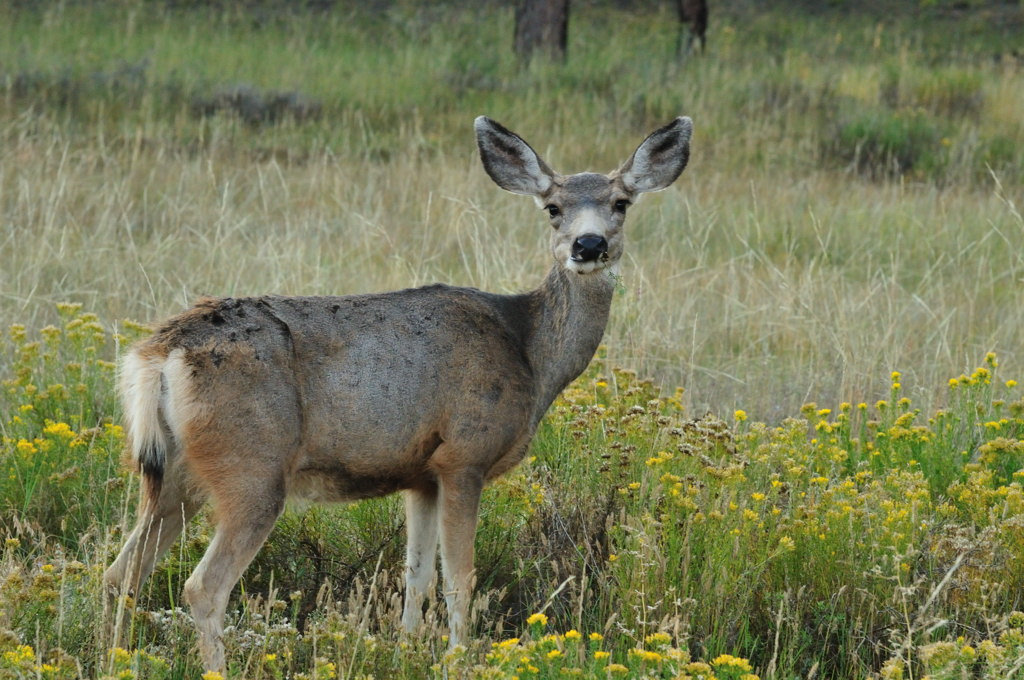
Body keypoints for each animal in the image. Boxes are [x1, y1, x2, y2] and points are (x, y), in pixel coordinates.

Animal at [103, 115, 692, 667]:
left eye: (620, 203)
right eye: (552, 207)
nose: (588, 245)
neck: (528, 349)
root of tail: (161, 353)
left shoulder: (421, 475)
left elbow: (416, 576)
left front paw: (406, 649)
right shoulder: (464, 456)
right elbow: (459, 579)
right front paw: (458, 659)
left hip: (174, 473)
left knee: (120, 572)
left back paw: (115, 654)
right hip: (251, 467)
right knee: (203, 587)